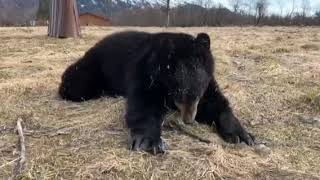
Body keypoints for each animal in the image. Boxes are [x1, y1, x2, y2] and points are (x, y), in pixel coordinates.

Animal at [58, 30, 255, 153]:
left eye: (198, 93)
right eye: (178, 91)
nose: (189, 120)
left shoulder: (207, 81)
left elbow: (216, 103)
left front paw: (242, 135)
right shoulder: (145, 71)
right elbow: (144, 103)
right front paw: (148, 141)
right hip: (94, 67)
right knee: (76, 83)